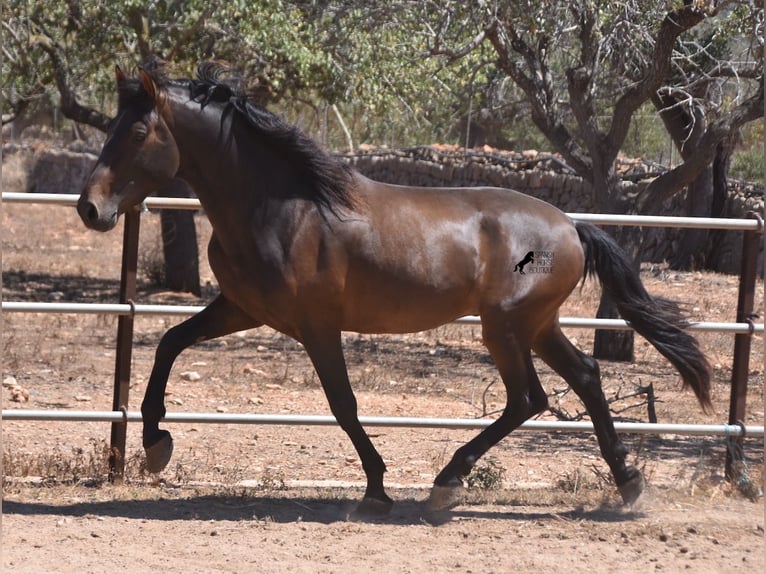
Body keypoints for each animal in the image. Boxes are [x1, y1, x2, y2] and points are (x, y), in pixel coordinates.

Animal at [78, 64, 712, 516]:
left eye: (138, 131)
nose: (90, 208)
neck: (283, 207)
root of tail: (571, 225)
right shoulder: (241, 309)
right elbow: (169, 344)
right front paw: (156, 444)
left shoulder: (316, 325)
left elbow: (343, 404)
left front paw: (377, 489)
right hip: (537, 325)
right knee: (584, 377)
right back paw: (628, 484)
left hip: (505, 327)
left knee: (529, 399)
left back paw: (447, 483)